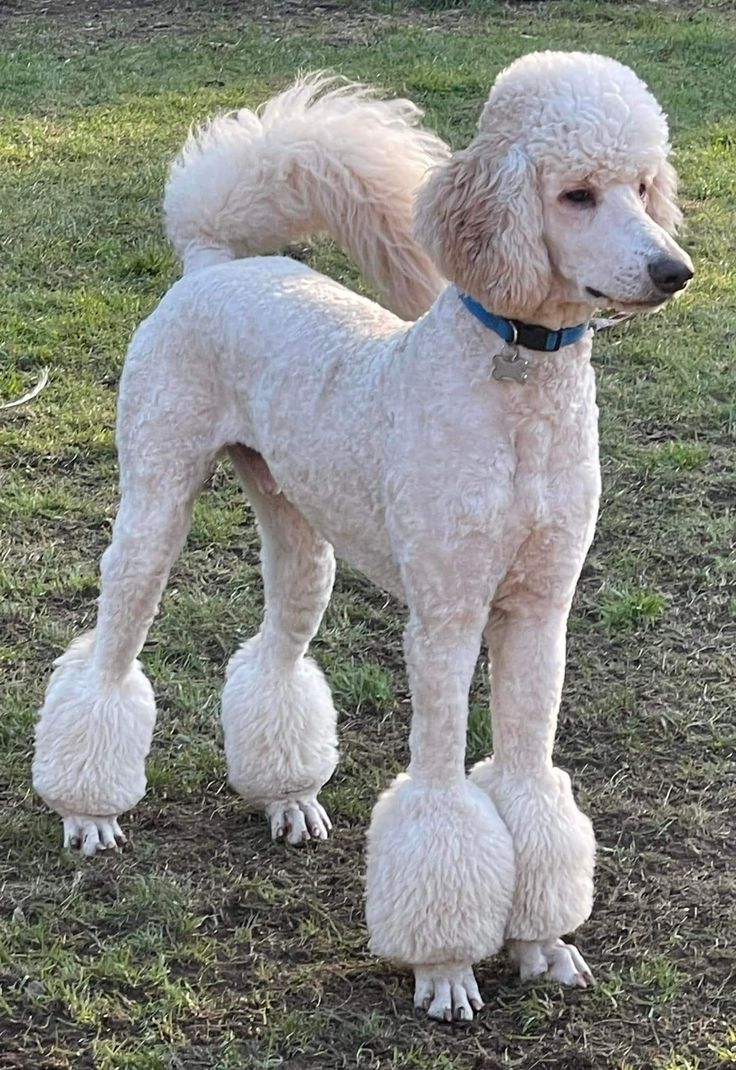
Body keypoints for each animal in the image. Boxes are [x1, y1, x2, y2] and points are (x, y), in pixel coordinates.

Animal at [33, 50, 688, 1018]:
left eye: (643, 186)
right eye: (575, 194)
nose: (673, 270)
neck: (518, 388)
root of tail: (212, 264)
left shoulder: (539, 613)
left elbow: (528, 782)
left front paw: (541, 944)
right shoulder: (447, 619)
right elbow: (442, 790)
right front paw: (446, 968)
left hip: (300, 533)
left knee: (274, 652)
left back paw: (288, 800)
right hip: (155, 500)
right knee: (110, 654)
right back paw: (89, 810)